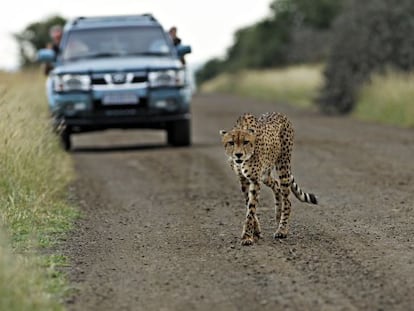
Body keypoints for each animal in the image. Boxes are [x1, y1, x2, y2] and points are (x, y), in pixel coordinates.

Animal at [220, 112, 316, 246]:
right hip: (266, 175)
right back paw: (278, 215)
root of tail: (280, 114)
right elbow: (249, 205)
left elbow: (251, 209)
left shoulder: (255, 180)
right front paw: (255, 232)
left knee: (287, 200)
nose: (238, 155)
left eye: (245, 142)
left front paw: (247, 236)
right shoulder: (243, 180)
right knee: (276, 185)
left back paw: (282, 229)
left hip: (283, 166)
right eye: (231, 143)